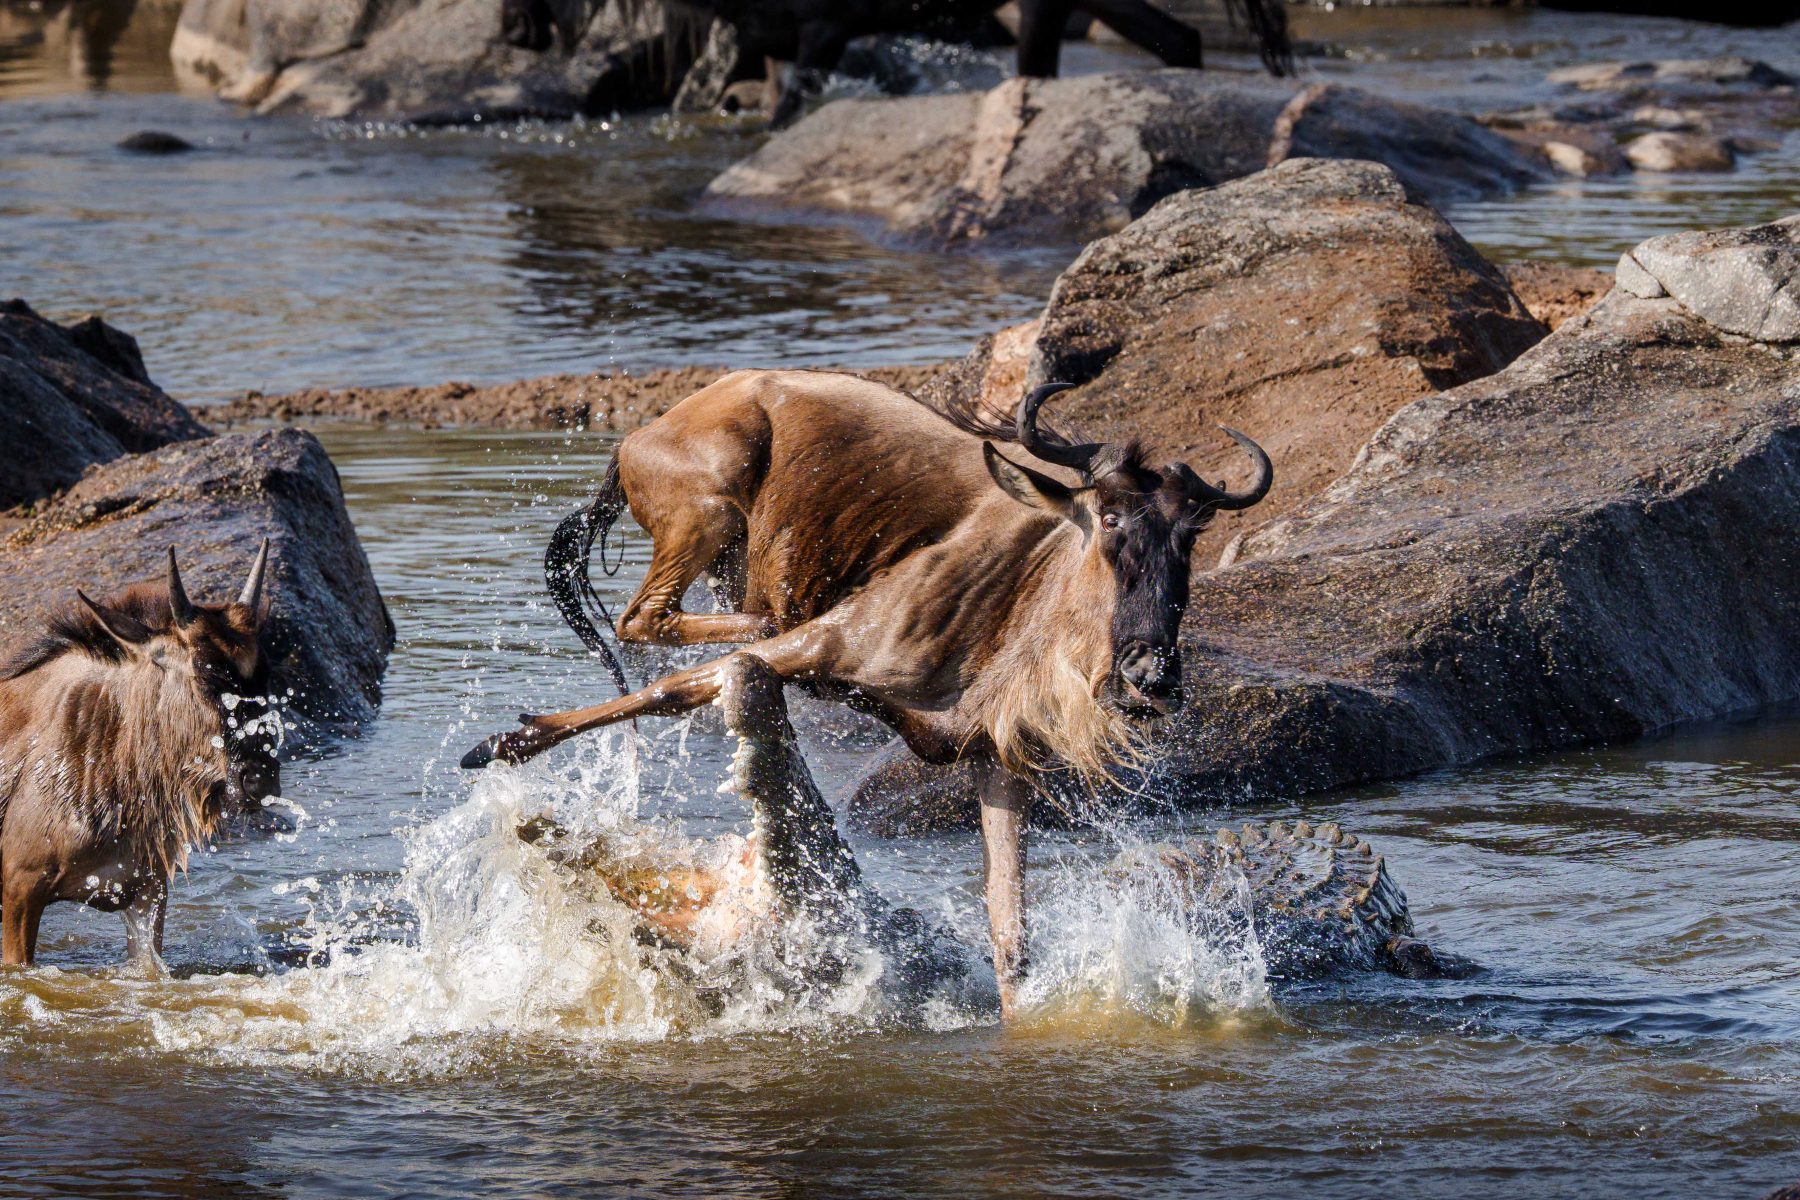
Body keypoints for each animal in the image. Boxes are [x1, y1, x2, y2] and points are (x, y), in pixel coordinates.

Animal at [462, 370, 1269, 1016]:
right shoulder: (828, 644)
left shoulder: (995, 761)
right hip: (710, 513)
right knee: (651, 620)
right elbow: (672, 688)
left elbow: (1010, 930)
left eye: (1190, 539)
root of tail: (639, 434)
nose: (1150, 674)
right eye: (1108, 519)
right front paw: (504, 744)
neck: (1020, 597)